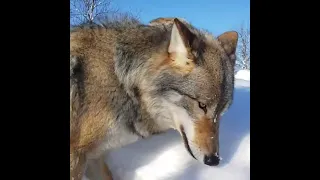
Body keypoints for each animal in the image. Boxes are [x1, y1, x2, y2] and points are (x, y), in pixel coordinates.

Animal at [70, 16, 238, 179]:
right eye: (202, 105)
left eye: (220, 112)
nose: (214, 160)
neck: (123, 81)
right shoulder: (77, 156)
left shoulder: (94, 156)